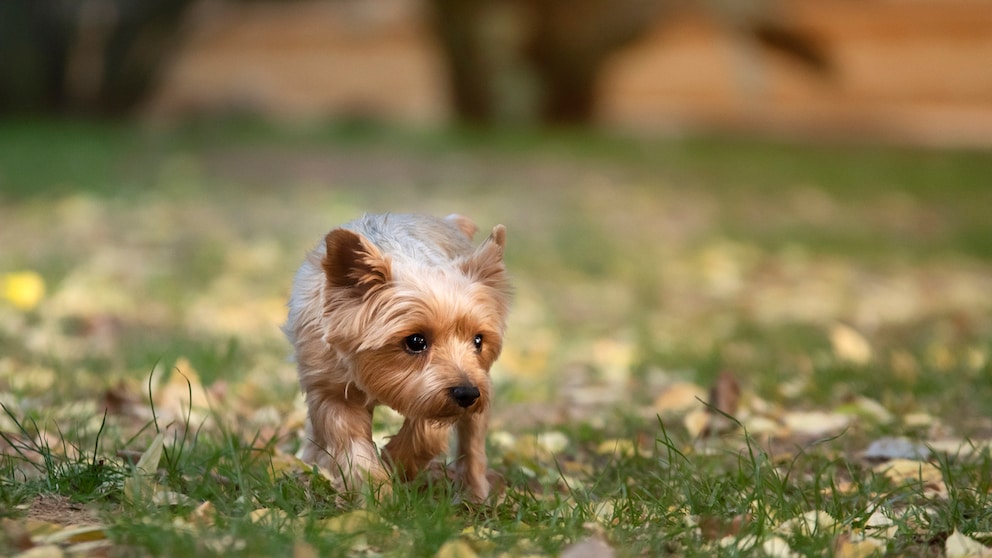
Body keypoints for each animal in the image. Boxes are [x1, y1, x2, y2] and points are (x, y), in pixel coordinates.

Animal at [280, 214, 508, 504]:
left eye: (478, 340)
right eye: (416, 341)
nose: (467, 393)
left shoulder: (432, 395)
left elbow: (428, 431)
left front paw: (395, 462)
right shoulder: (331, 391)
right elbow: (352, 444)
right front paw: (379, 495)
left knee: (472, 444)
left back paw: (474, 496)